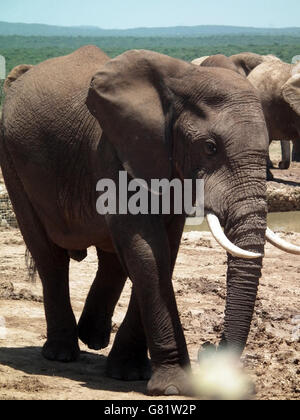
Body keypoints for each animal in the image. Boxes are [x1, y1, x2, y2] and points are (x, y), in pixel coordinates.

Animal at [0, 46, 298, 398]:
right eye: (210, 148)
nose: (208, 350)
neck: (181, 81)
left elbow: (163, 251)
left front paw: (130, 374)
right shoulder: (116, 154)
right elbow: (147, 251)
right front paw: (172, 386)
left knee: (112, 257)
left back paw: (93, 338)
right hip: (12, 161)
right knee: (49, 255)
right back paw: (61, 353)